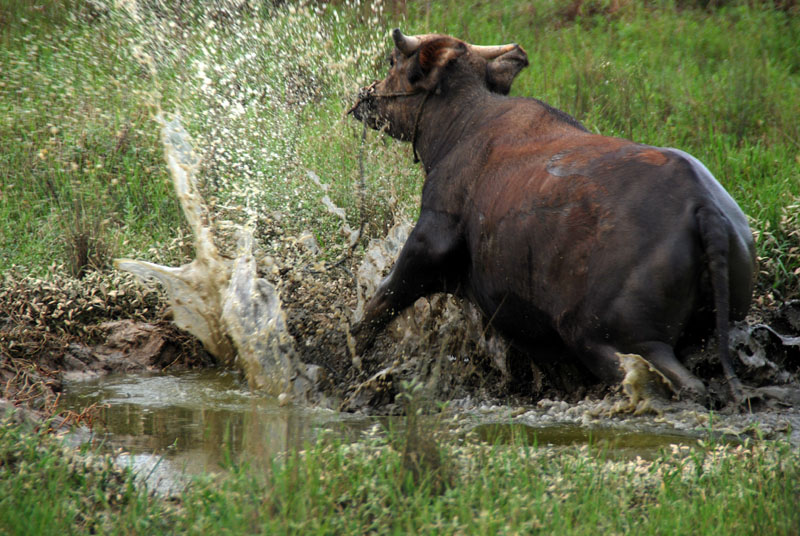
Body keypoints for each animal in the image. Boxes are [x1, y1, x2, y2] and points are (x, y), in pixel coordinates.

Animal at [348, 29, 756, 402]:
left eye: (391, 61)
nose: (363, 97)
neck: (455, 131)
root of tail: (705, 210)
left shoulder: (430, 240)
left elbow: (379, 303)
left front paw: (356, 359)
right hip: (706, 326)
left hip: (614, 338)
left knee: (676, 385)